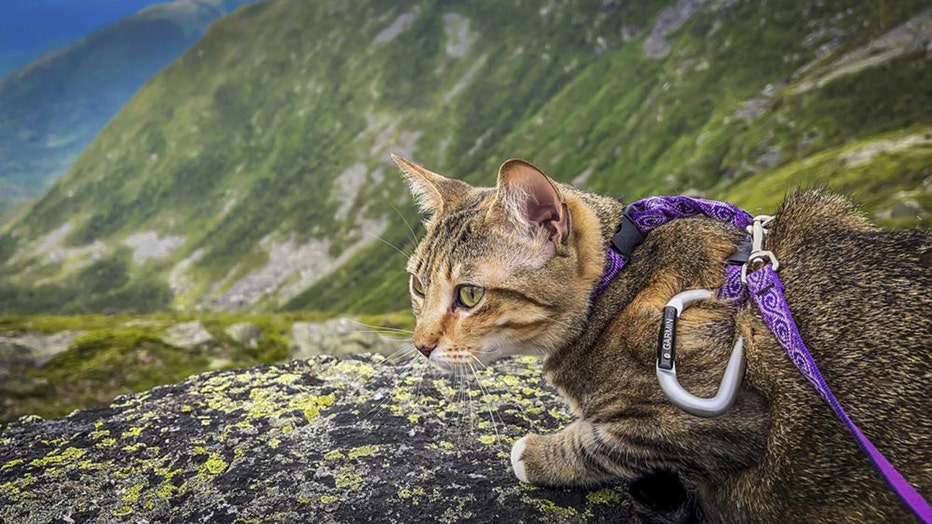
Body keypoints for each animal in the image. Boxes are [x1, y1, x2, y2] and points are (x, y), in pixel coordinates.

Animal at [394, 154, 932, 520]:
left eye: (469, 294)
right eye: (418, 286)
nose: (421, 345)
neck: (618, 277)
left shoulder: (719, 421)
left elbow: (598, 444)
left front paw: (535, 453)